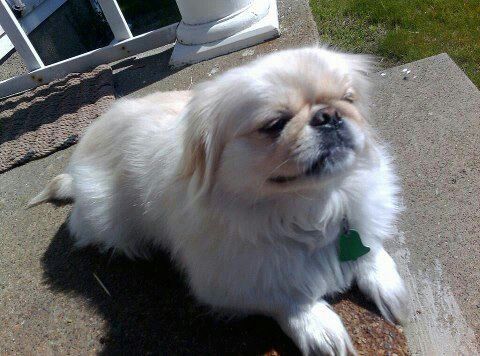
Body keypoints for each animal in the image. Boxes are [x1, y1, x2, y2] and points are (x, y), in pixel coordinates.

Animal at [31, 48, 408, 356]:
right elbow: (286, 297)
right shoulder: (225, 283)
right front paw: (317, 325)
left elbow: (371, 250)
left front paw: (390, 287)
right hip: (103, 217)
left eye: (348, 99)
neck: (315, 208)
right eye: (275, 124)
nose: (328, 115)